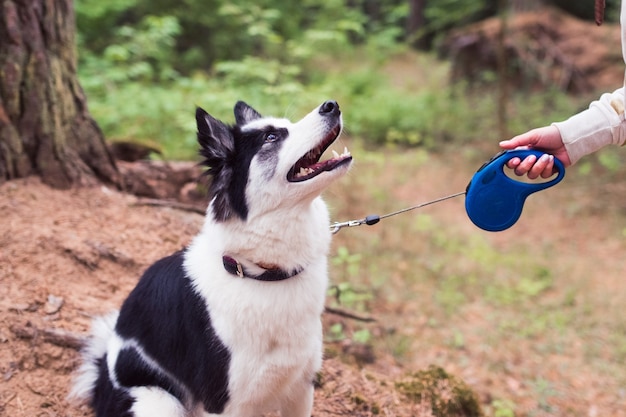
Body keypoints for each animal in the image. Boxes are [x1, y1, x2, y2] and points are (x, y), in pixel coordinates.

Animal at [70, 101, 352, 416]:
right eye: (271, 137)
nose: (331, 105)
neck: (260, 273)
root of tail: (101, 377)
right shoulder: (223, 403)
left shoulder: (301, 387)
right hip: (160, 403)